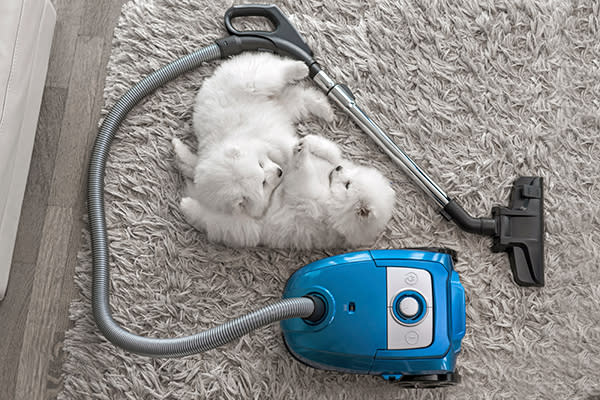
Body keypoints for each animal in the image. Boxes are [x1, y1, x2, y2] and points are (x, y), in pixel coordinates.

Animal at [176, 135, 396, 247]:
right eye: (350, 179)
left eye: (348, 185)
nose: (339, 169)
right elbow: (331, 151)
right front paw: (306, 142)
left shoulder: (307, 195)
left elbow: (304, 173)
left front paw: (302, 152)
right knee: (199, 166)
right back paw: (181, 153)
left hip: (240, 226)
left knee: (209, 218)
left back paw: (187, 204)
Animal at [185, 52, 336, 219]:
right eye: (263, 183)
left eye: (260, 164)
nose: (279, 171)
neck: (244, 140)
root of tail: (213, 77)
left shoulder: (273, 139)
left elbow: (291, 146)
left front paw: (308, 147)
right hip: (282, 105)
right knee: (301, 97)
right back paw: (325, 109)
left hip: (252, 81)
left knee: (275, 70)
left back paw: (300, 69)